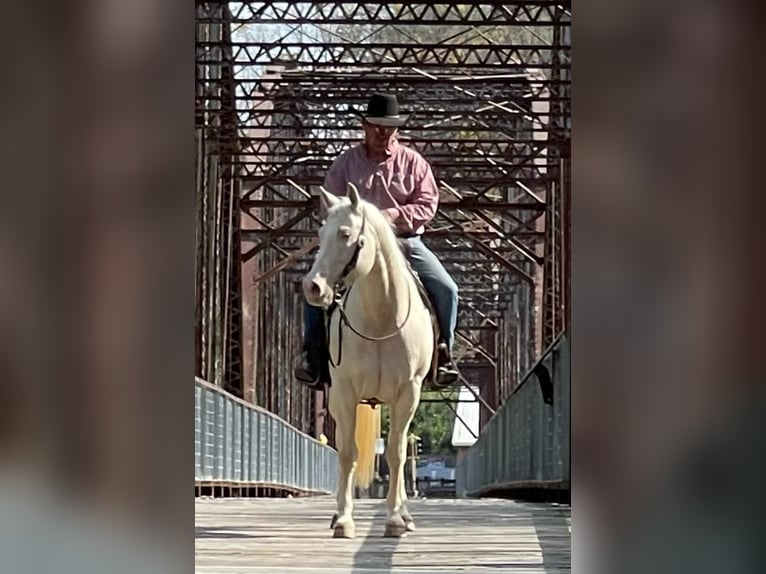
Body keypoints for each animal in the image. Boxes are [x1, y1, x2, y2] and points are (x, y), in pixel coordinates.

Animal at [302, 182, 435, 538]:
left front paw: (394, 519)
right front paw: (344, 520)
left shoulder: (408, 393)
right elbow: (348, 453)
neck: (381, 319)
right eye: (320, 234)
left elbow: (396, 454)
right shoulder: (343, 393)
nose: (313, 287)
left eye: (346, 234)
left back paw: (405, 515)